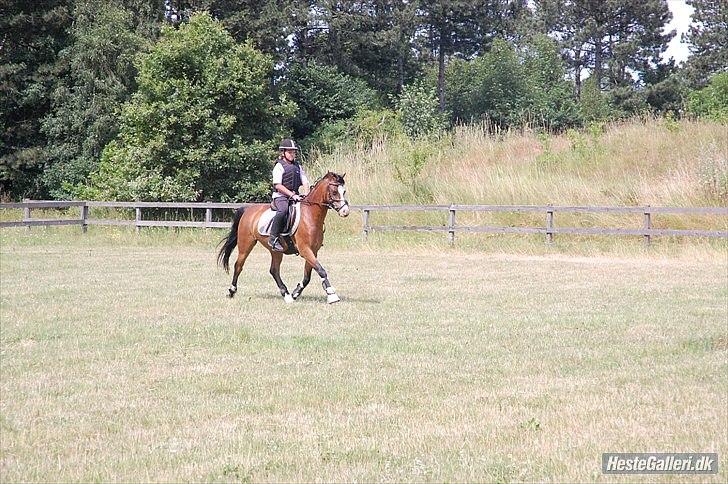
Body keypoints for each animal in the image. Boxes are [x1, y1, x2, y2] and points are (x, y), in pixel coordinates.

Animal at [217, 172, 350, 304]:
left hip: (275, 250)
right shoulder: (305, 250)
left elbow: (307, 276)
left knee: (274, 270)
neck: (310, 215)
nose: (345, 211)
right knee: (238, 265)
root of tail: (248, 209)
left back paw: (286, 294)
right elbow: (321, 270)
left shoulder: (313, 251)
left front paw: (295, 293)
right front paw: (332, 294)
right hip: (246, 244)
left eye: (343, 191)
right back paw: (232, 291)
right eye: (334, 192)